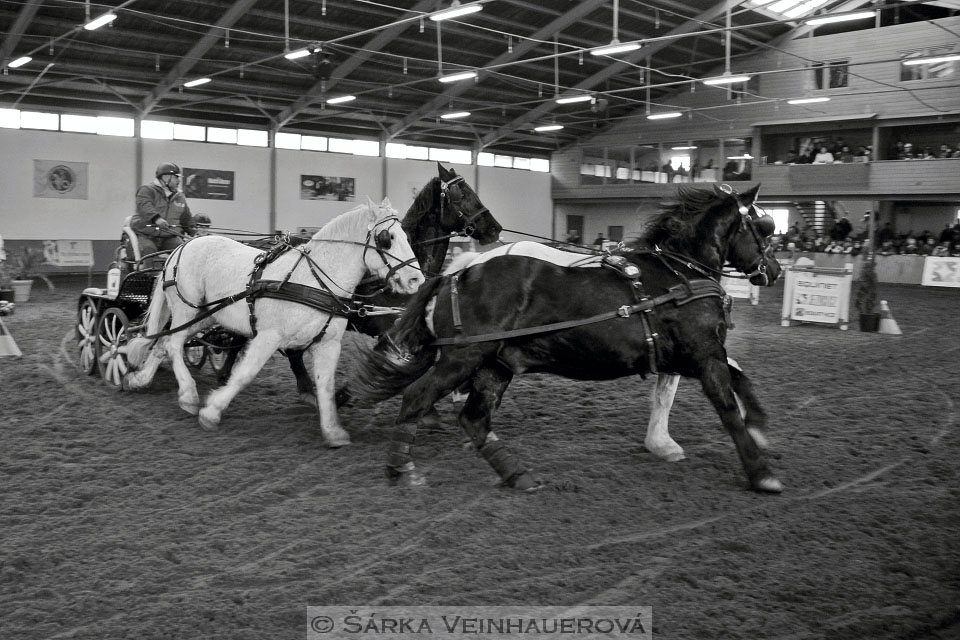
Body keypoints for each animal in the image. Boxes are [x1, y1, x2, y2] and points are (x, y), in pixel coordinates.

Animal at [122, 195, 422, 444]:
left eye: (406, 235)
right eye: (387, 238)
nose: (416, 279)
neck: (314, 280)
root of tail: (184, 245)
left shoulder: (328, 343)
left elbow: (325, 385)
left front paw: (333, 431)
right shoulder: (268, 336)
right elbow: (245, 375)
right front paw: (212, 412)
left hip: (206, 316)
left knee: (165, 343)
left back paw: (140, 380)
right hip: (187, 308)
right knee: (173, 344)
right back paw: (188, 395)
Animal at [348, 185, 784, 496]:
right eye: (764, 228)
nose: (775, 270)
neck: (680, 274)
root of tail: (456, 274)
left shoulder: (690, 355)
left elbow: (737, 380)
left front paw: (757, 428)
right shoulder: (703, 354)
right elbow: (727, 407)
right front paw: (760, 471)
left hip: (495, 364)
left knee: (474, 417)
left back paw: (515, 474)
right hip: (463, 359)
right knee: (418, 397)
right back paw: (401, 468)